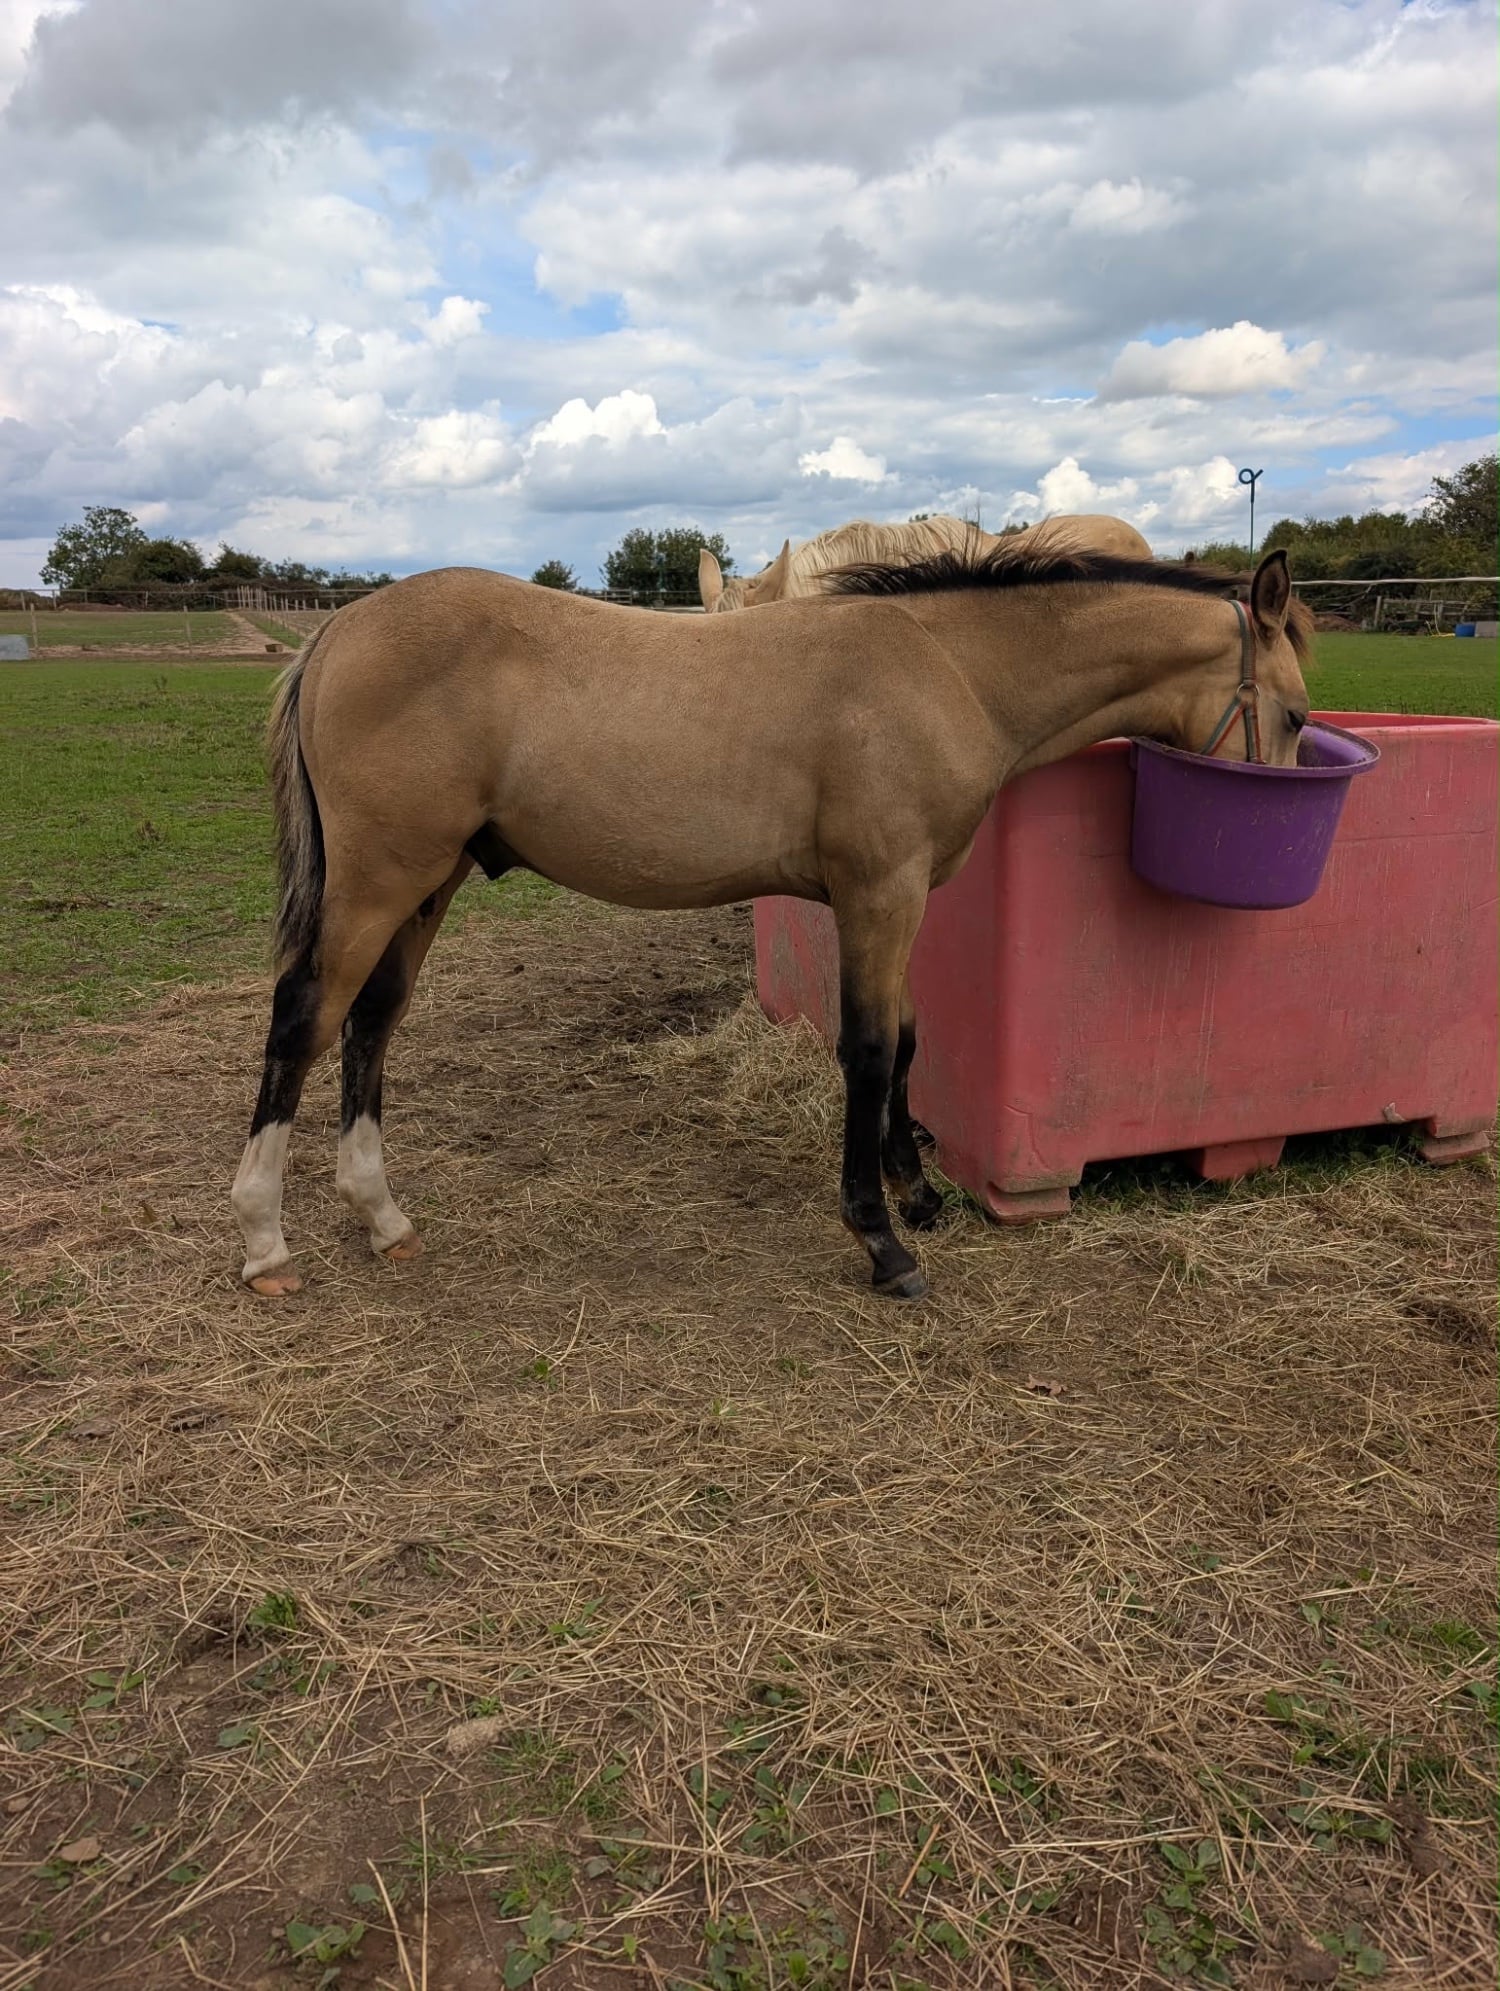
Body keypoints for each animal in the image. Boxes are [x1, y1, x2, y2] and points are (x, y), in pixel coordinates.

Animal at [231, 536, 1309, 1303]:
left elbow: (908, 1040)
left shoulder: (903, 897)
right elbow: (869, 1051)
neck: (944, 665)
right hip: (380, 881)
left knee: (372, 1023)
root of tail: (335, 632)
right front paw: (881, 1239)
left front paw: (918, 1192)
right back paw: (265, 1237)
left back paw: (382, 1216)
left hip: (428, 883)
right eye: (1296, 715)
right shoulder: (879, 890)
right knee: (304, 1020)